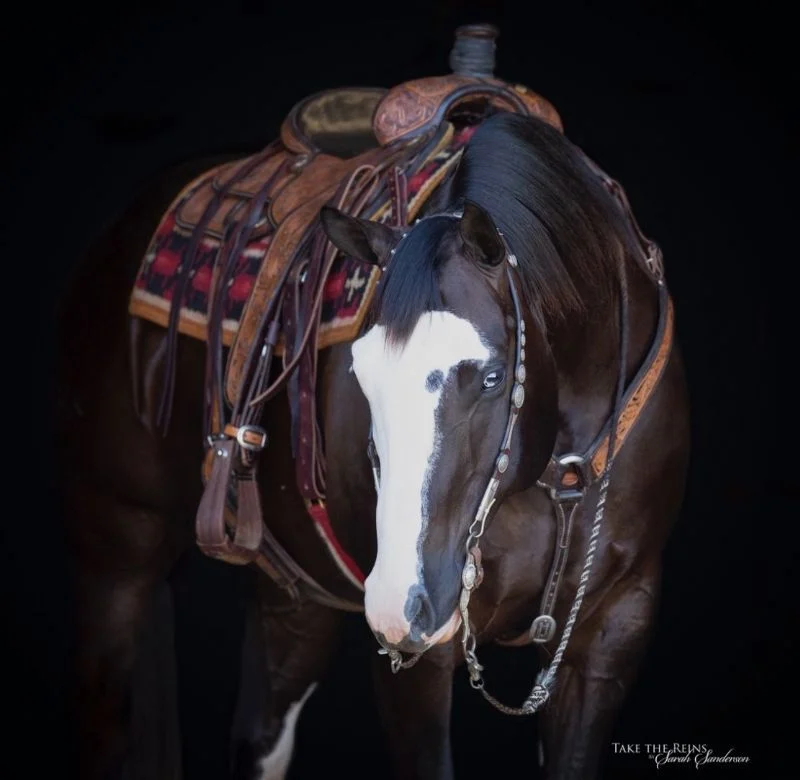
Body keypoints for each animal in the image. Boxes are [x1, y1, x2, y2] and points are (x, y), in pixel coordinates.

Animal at [54, 99, 690, 779]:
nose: (400, 603)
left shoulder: (613, 631)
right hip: (117, 557)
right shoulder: (420, 659)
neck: (561, 470)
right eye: (361, 372)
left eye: (493, 376)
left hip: (295, 598)